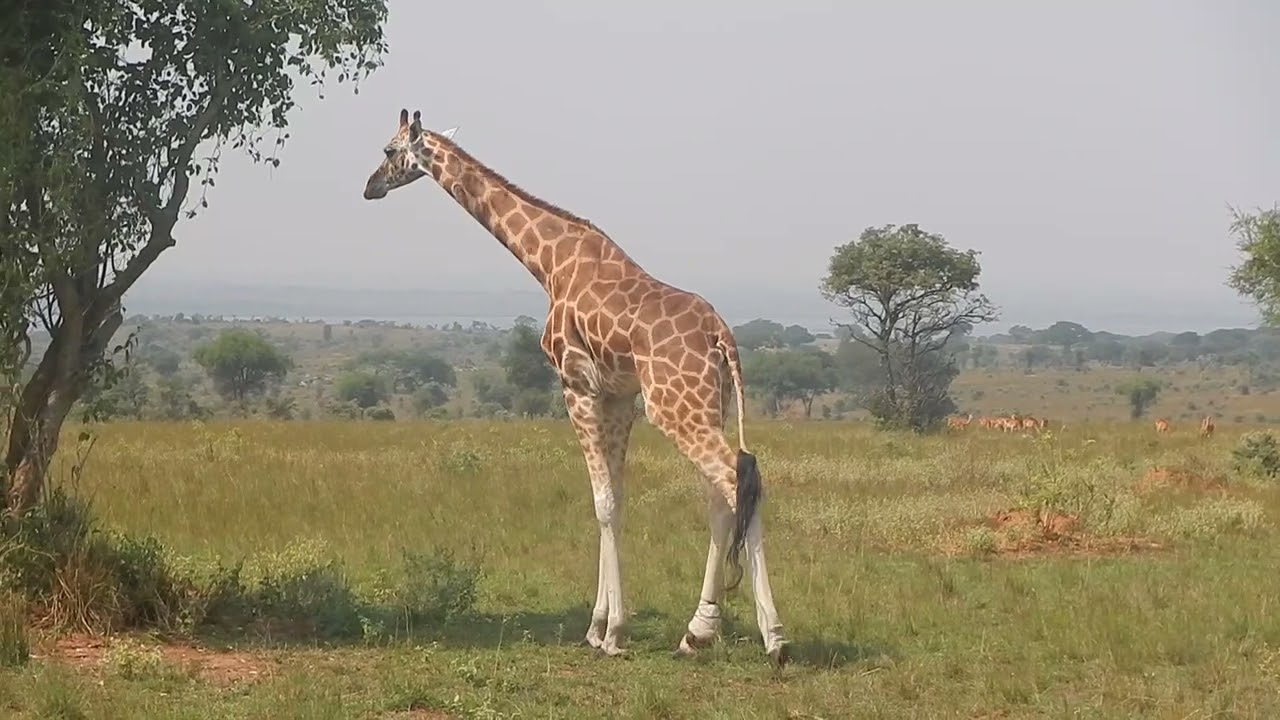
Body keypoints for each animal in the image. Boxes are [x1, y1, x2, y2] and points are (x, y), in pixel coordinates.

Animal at [361, 109, 788, 667]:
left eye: (389, 151)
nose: (369, 187)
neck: (549, 263)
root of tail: (722, 335)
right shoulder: (619, 396)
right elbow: (617, 499)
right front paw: (602, 627)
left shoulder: (576, 386)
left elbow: (601, 501)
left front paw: (610, 632)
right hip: (708, 404)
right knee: (726, 493)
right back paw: (697, 633)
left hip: (676, 407)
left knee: (737, 482)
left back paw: (774, 638)